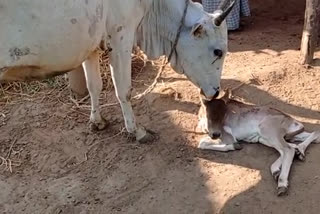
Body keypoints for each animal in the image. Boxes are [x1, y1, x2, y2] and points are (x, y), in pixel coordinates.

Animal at [0, 0, 235, 143]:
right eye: (218, 51)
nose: (216, 91)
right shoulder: (121, 36)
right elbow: (124, 91)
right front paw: (136, 131)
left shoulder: (93, 45)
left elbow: (94, 86)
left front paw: (97, 121)